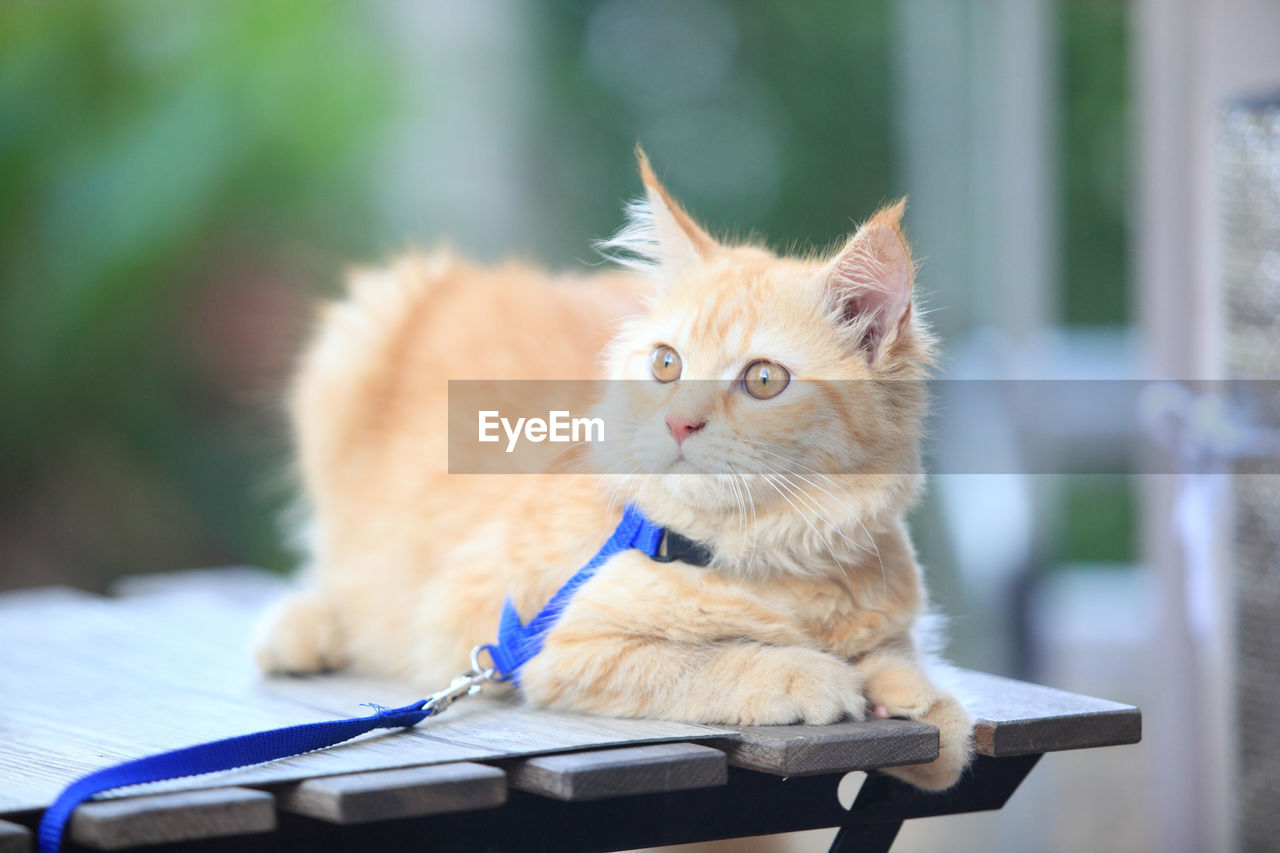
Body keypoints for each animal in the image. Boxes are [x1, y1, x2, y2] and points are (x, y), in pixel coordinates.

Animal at [252, 147, 967, 788]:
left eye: (764, 380)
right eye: (667, 365)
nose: (679, 423)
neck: (766, 558)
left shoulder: (894, 618)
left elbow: (923, 690)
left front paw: (911, 695)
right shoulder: (556, 650)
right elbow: (712, 663)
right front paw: (811, 675)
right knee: (332, 571)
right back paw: (302, 632)